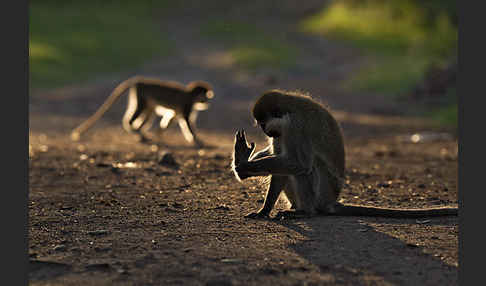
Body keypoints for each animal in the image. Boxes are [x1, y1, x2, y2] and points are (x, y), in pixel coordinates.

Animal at [69, 76, 214, 145]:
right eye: (206, 96)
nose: (207, 102)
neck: (191, 95)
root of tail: (139, 81)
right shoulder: (187, 105)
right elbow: (187, 122)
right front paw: (196, 140)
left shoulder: (181, 108)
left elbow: (172, 118)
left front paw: (159, 133)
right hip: (141, 96)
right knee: (139, 111)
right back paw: (132, 128)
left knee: (149, 112)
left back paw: (141, 133)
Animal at [234, 90, 458, 219]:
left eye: (263, 123)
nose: (265, 131)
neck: (289, 112)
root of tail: (330, 201)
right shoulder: (283, 131)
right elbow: (281, 160)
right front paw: (264, 210)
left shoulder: (296, 126)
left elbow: (300, 163)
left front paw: (245, 167)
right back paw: (296, 208)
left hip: (323, 192)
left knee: (307, 167)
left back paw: (306, 212)